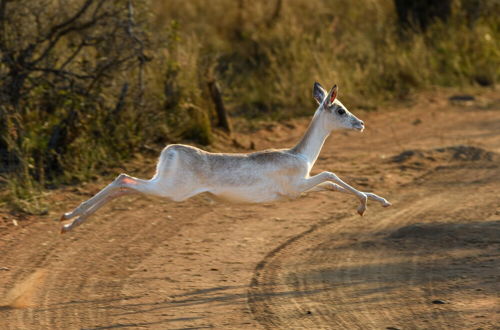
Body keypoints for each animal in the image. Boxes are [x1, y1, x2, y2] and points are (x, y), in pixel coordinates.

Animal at [60, 82, 390, 232]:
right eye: (340, 110)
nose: (360, 123)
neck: (300, 156)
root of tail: (170, 150)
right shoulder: (298, 185)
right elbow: (332, 175)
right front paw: (364, 205)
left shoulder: (302, 188)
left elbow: (333, 184)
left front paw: (380, 201)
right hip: (168, 191)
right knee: (122, 179)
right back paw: (68, 219)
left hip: (160, 186)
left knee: (122, 185)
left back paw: (68, 221)